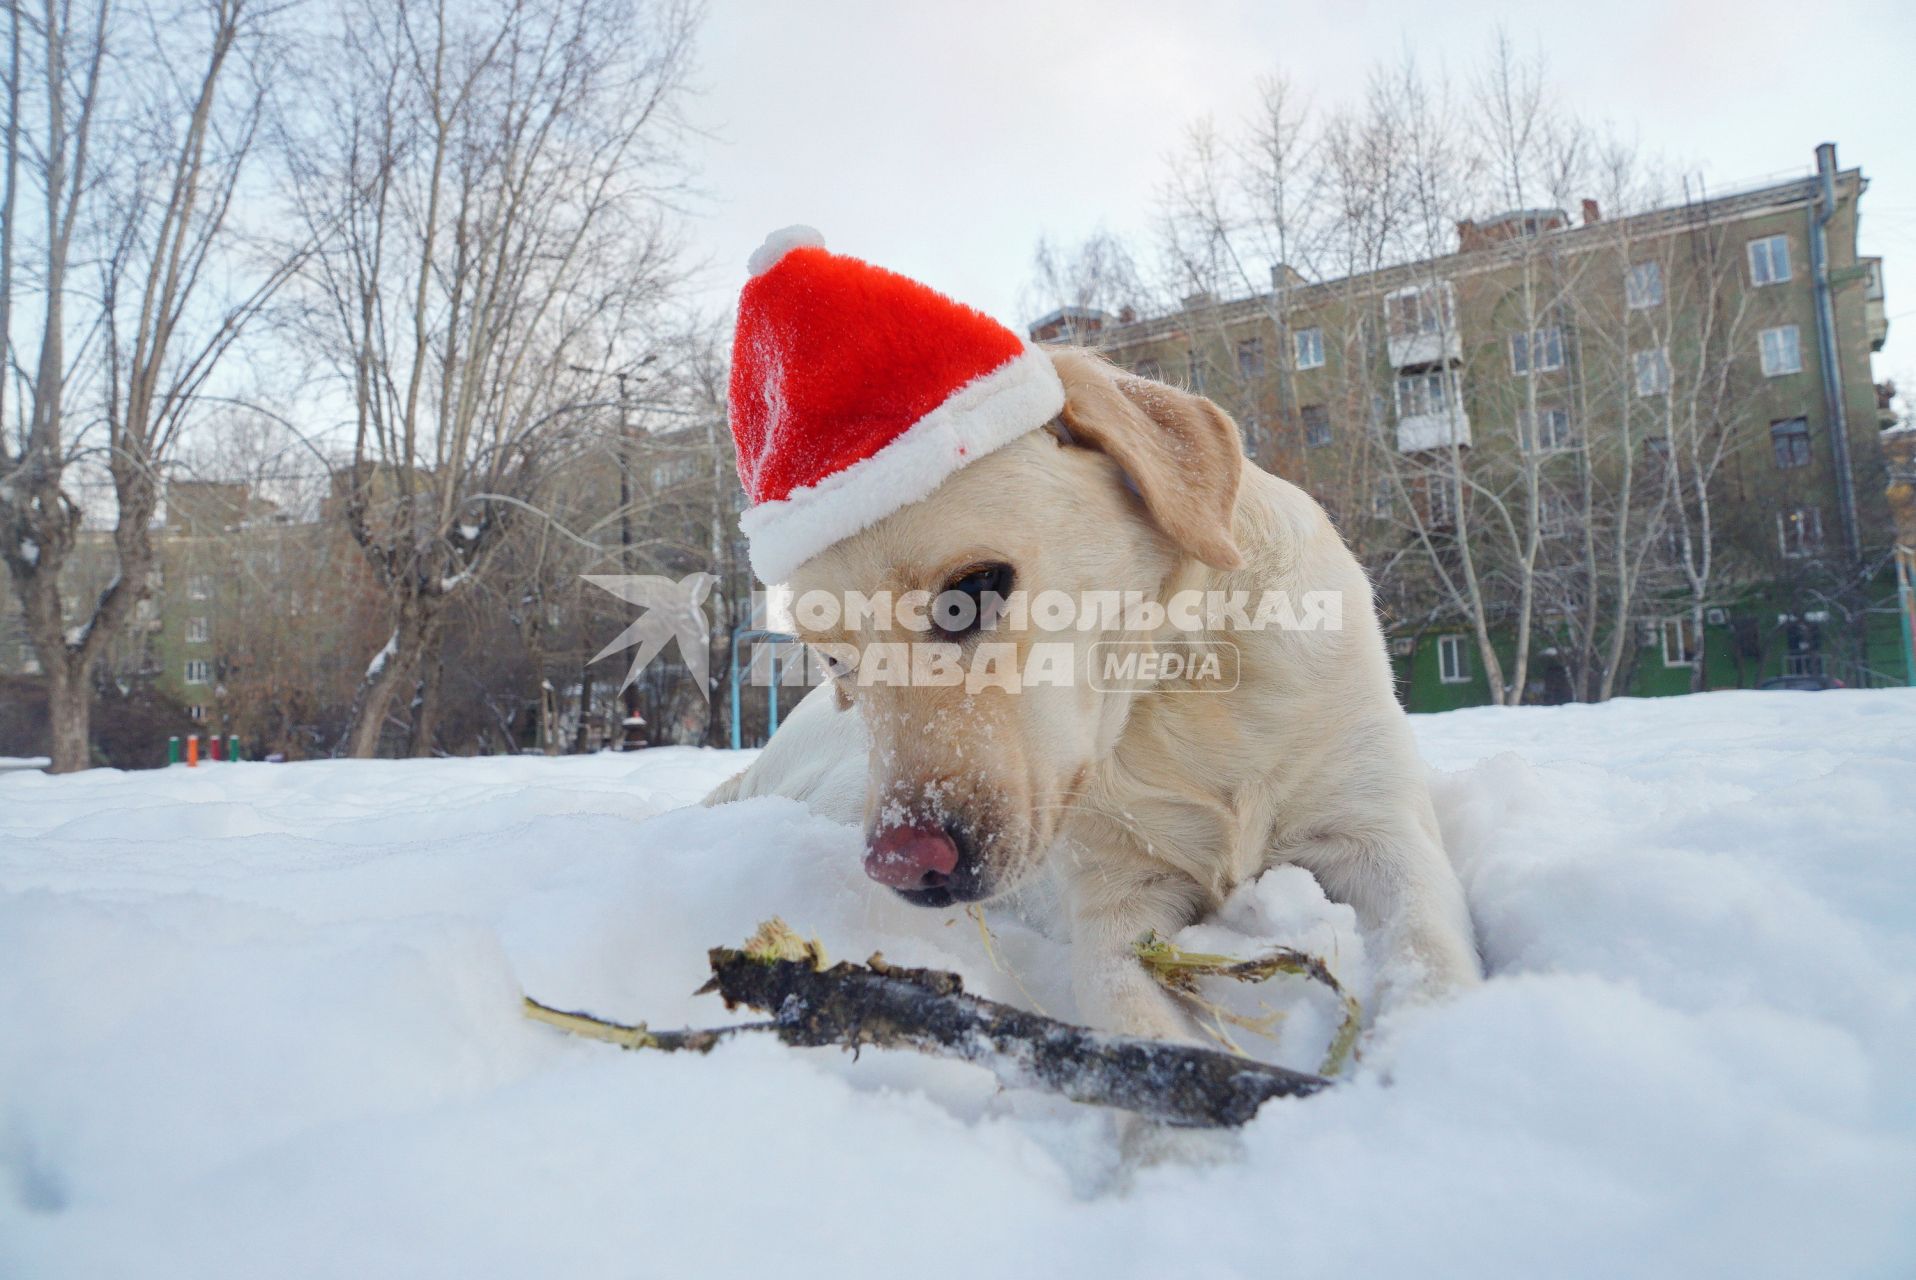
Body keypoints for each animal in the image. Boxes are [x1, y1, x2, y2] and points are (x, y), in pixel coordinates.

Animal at [708, 350, 1479, 1042]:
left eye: (972, 590)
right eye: (837, 661)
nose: (905, 864)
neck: (1177, 697)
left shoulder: (1382, 835)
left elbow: (1433, 960)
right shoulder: (1116, 905)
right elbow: (1135, 1019)